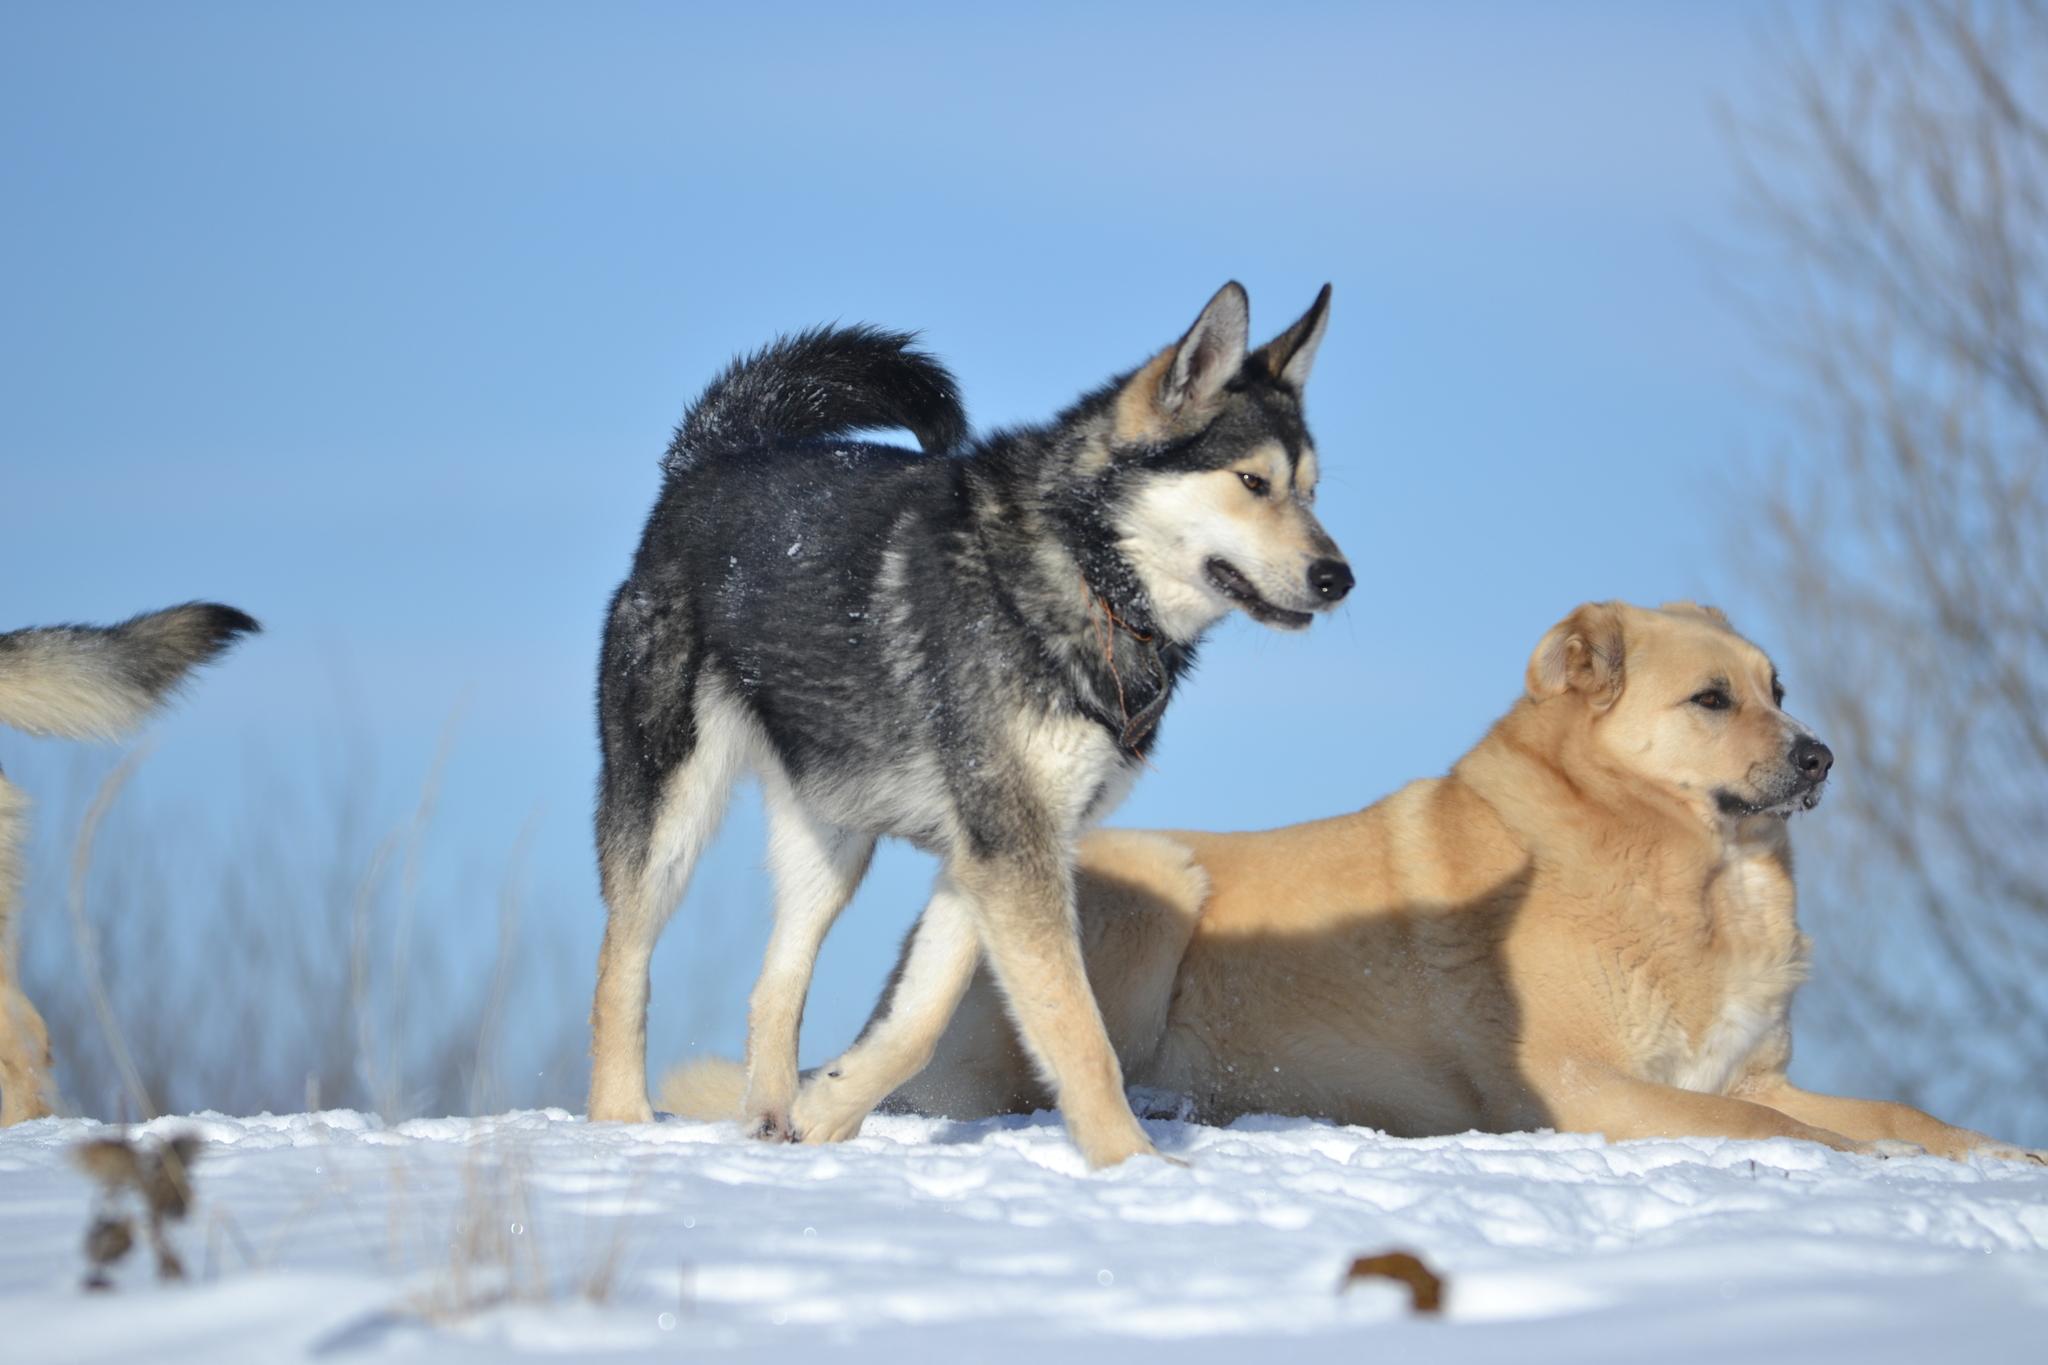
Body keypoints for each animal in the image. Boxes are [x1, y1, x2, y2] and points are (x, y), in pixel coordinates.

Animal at [593, 282, 1351, 1170]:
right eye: (1252, 481)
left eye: (1311, 490)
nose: (1339, 577)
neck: (1085, 574)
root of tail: (713, 458)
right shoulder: (1014, 849)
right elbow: (1078, 1032)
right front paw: (1132, 1164)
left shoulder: (988, 854)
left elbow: (917, 1024)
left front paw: (827, 1112)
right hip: (670, 807)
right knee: (623, 961)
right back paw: (619, 1121)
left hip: (834, 840)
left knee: (773, 983)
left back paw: (775, 1122)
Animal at [667, 601, 2031, 1162]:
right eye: (1709, 700)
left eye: (1775, 687)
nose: (1819, 757)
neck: (1686, 871)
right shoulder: (1585, 1084)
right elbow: (1771, 1132)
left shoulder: (1750, 1070)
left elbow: (1888, 1113)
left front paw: (1999, 1158)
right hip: (1147, 884)